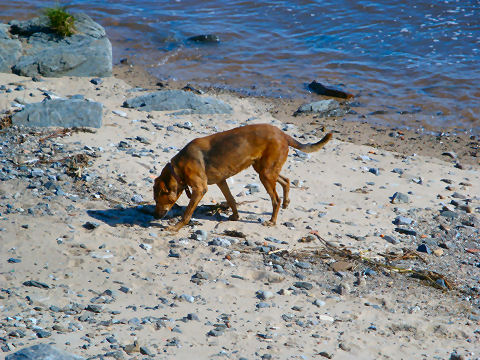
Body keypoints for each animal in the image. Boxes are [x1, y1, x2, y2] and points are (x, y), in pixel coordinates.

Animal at [154, 123, 330, 231]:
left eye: (157, 199)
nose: (155, 216)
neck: (177, 168)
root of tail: (283, 134)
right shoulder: (221, 181)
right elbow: (231, 199)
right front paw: (235, 216)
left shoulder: (200, 189)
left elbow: (187, 214)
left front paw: (175, 228)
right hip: (264, 169)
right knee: (285, 181)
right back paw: (286, 202)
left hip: (265, 174)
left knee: (275, 199)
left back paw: (272, 220)